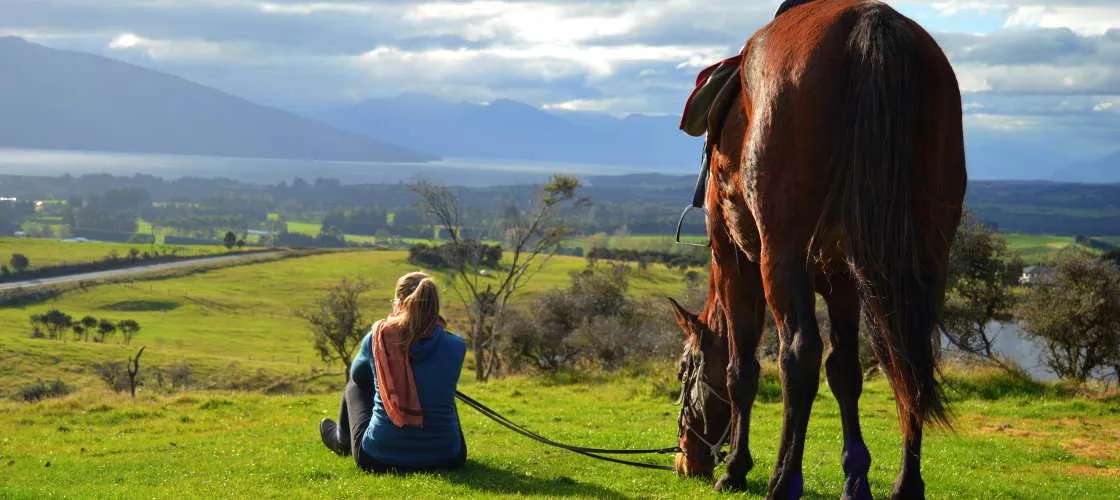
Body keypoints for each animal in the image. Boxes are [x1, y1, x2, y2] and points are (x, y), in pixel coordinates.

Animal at [668, 1, 966, 498]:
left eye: (683, 370)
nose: (686, 459)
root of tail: (870, 22)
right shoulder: (843, 279)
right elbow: (845, 371)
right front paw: (856, 477)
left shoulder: (734, 260)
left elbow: (741, 370)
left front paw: (735, 467)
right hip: (926, 256)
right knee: (909, 362)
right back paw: (907, 483)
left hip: (780, 253)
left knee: (799, 355)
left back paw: (784, 478)